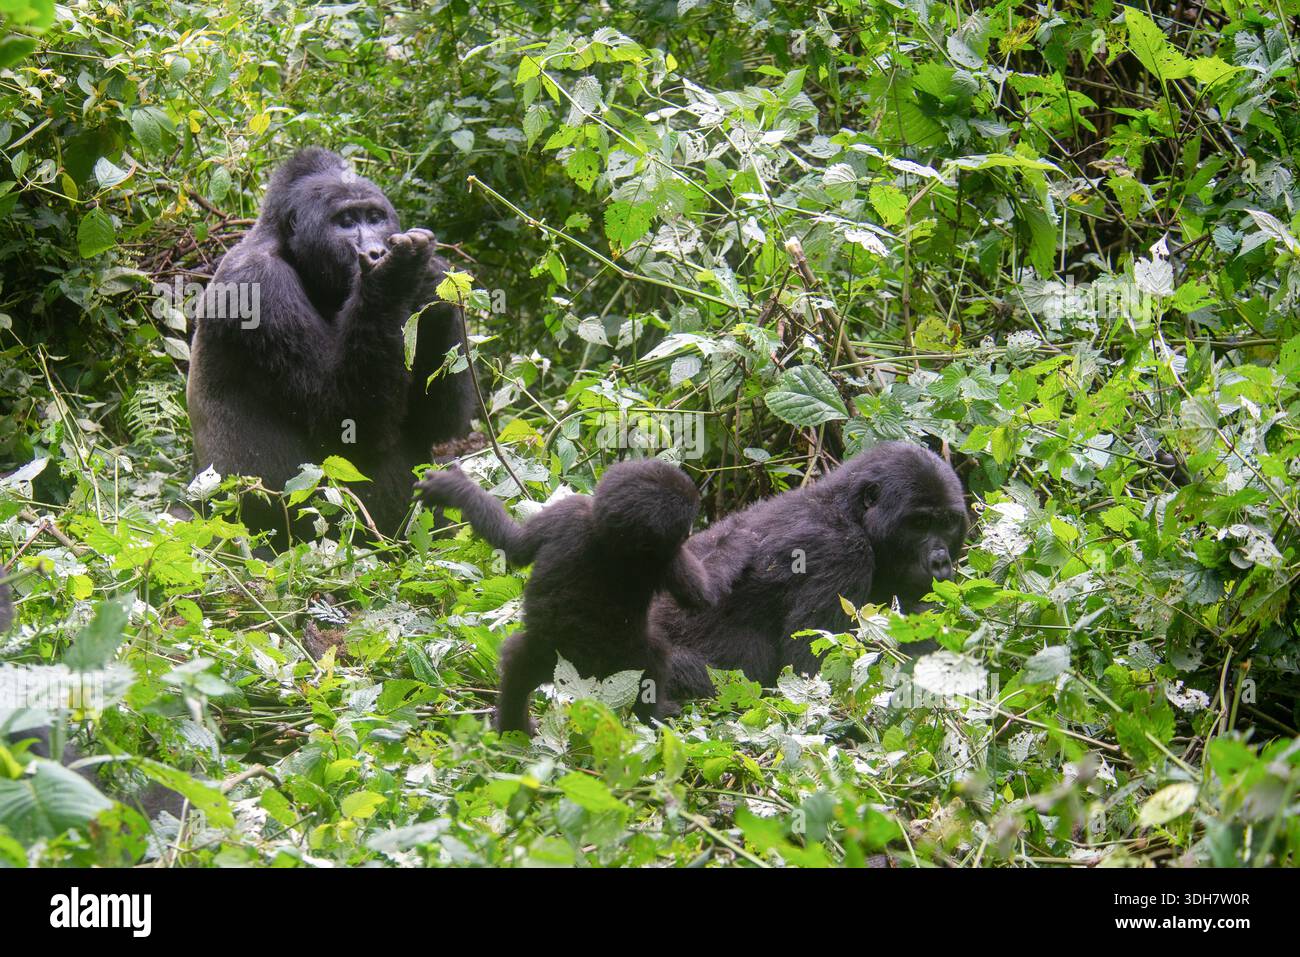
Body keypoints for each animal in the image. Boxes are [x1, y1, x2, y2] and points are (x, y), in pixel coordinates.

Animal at [187, 147, 473, 545]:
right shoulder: (257, 284)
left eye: (375, 217)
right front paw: (394, 274)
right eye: (346, 221)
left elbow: (431, 423)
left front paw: (430, 282)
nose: (375, 250)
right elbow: (343, 422)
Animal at [414, 459, 715, 734]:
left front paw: (455, 490)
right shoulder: (574, 511)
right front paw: (457, 489)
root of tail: (587, 676)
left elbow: (512, 545)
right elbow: (701, 599)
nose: (689, 532)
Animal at [651, 442, 968, 698]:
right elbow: (817, 676)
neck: (849, 511)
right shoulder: (841, 553)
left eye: (948, 523)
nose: (940, 561)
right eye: (920, 523)